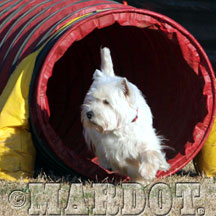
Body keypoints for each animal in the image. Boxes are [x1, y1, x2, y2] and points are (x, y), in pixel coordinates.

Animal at [80, 47, 170, 184]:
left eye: (106, 102)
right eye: (90, 100)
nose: (89, 113)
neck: (121, 128)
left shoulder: (146, 140)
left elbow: (151, 153)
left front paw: (147, 172)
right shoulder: (112, 149)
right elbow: (123, 162)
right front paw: (139, 177)